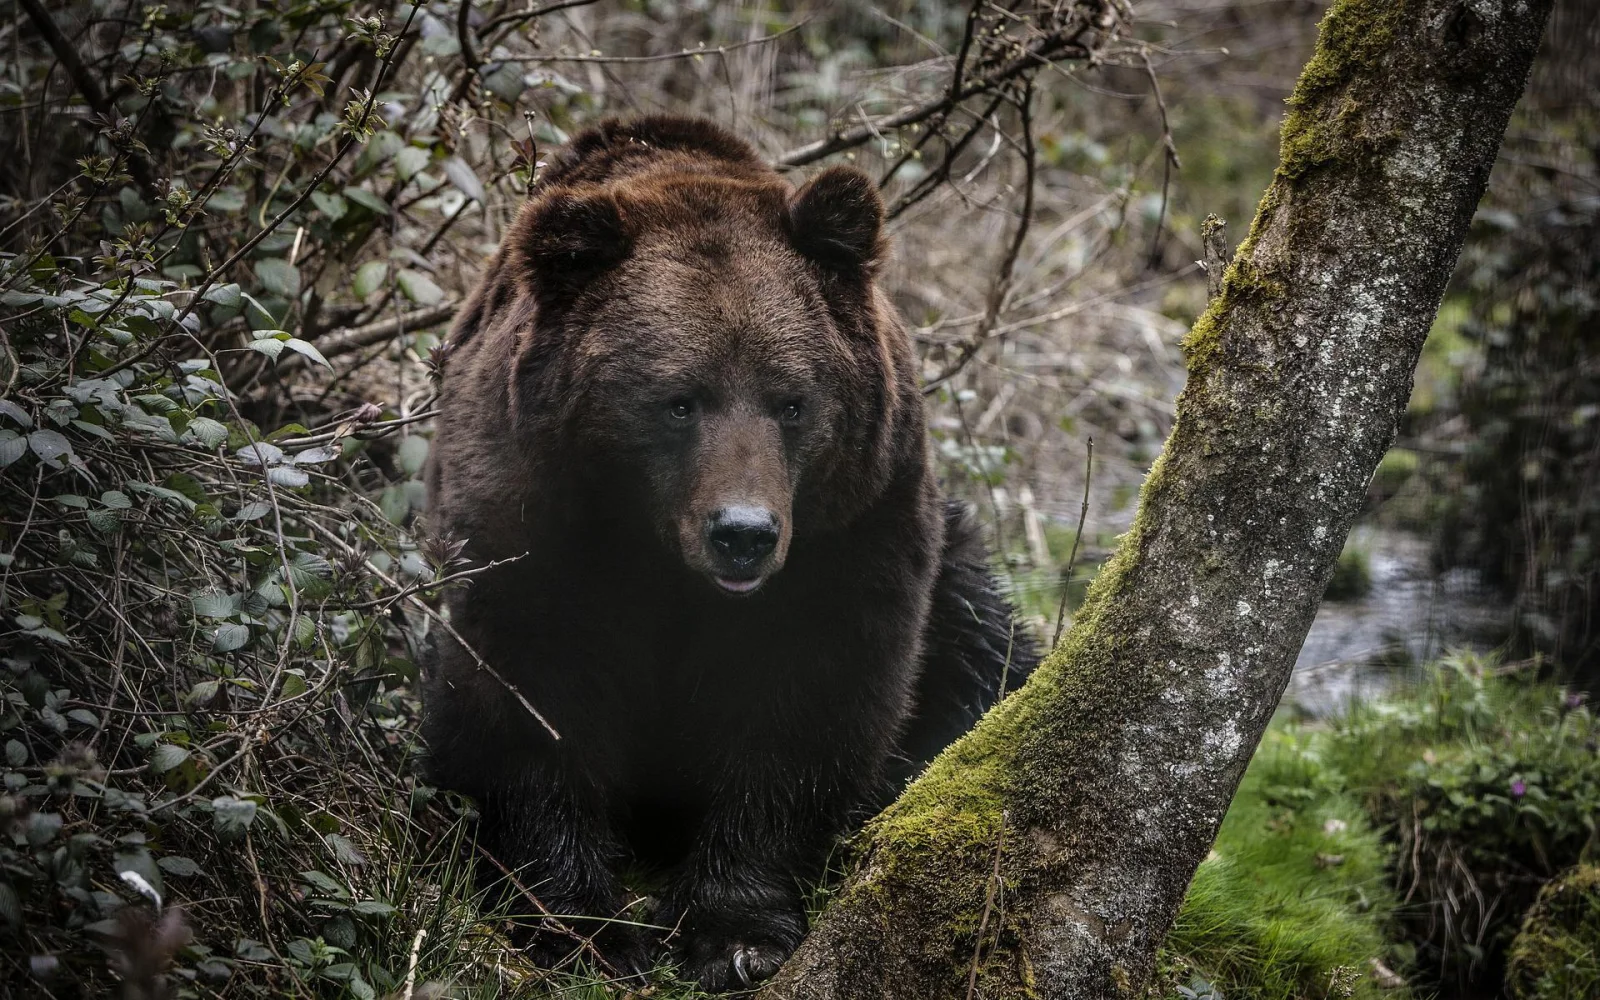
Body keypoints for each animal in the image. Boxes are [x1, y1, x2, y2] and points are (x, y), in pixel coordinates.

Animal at [421, 115, 1037, 990]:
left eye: (791, 401)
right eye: (679, 401)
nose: (743, 533)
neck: (658, 553)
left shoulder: (851, 531)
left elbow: (804, 707)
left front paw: (736, 935)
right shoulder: (531, 517)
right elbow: (531, 699)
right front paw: (582, 926)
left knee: (986, 655)